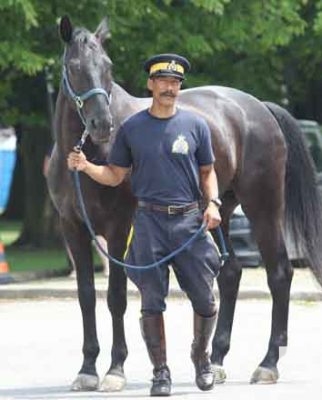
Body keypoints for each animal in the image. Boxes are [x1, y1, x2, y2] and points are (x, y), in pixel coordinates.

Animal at [47, 16, 322, 390]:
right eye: (74, 66)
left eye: (108, 66)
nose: (102, 124)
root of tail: (260, 108)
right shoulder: (72, 227)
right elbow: (86, 295)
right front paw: (87, 368)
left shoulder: (118, 228)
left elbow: (116, 296)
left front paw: (115, 369)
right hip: (219, 210)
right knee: (230, 274)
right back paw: (216, 360)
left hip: (263, 207)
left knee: (279, 272)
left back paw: (268, 363)